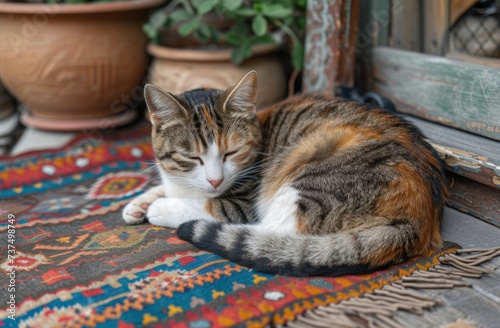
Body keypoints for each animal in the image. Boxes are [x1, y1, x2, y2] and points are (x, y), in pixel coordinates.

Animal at [122, 71, 450, 276]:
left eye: (231, 153)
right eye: (193, 157)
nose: (215, 179)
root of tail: (421, 220)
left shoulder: (241, 204)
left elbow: (207, 205)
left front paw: (158, 207)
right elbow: (166, 186)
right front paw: (138, 203)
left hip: (311, 176)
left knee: (275, 236)